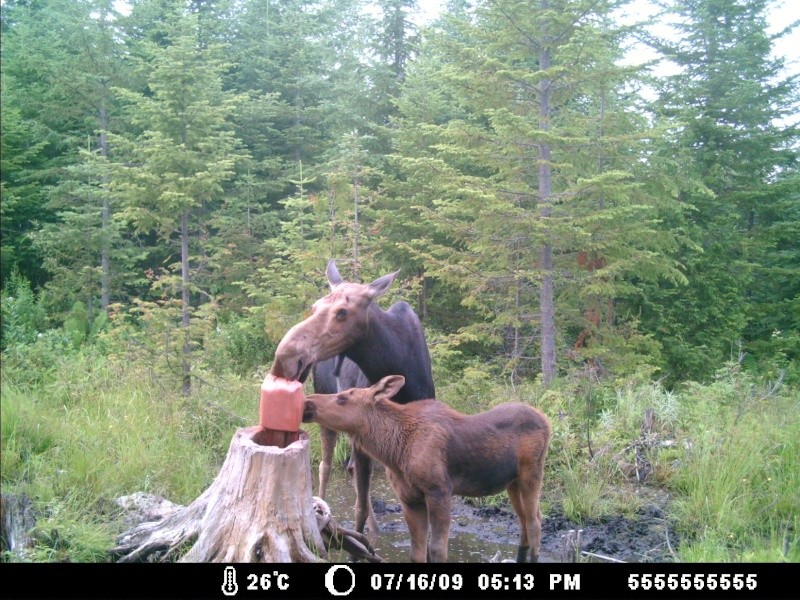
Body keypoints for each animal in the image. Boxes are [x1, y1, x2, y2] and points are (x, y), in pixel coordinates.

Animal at [276, 262, 438, 536]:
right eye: (315, 307)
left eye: (343, 312)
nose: (285, 357)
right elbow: (359, 508)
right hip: (326, 417)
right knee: (326, 467)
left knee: (351, 468)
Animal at [300, 376, 552, 564]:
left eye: (342, 398)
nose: (306, 402)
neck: (394, 451)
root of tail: (546, 420)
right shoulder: (409, 498)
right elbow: (417, 552)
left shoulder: (439, 491)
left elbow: (437, 549)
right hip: (512, 482)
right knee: (525, 521)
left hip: (532, 473)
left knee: (535, 523)